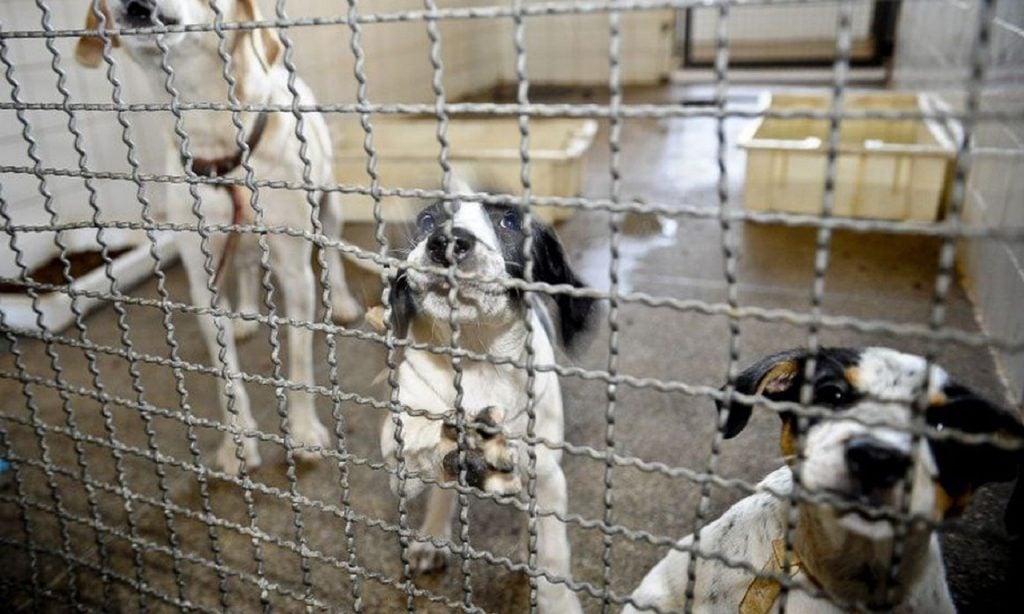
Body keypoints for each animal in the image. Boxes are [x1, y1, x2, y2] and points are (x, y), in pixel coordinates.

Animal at [73, 0, 360, 474]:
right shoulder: (202, 280)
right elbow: (227, 378)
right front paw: (238, 443)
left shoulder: (295, 272)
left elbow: (300, 364)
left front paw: (304, 433)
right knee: (245, 267)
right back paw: (244, 314)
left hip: (329, 203)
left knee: (331, 254)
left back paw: (342, 301)